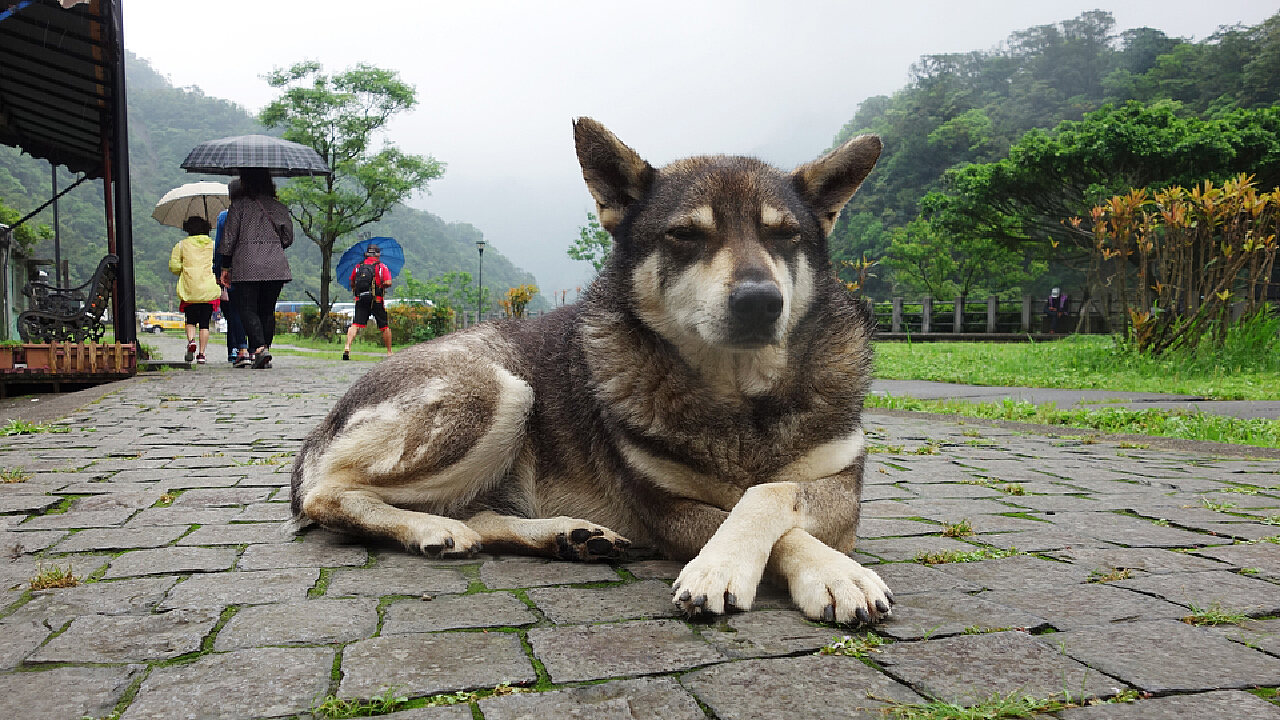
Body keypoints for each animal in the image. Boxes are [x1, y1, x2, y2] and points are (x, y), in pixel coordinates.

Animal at [289, 117, 890, 622]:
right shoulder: (665, 508)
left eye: (784, 234)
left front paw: (830, 571)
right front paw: (736, 569)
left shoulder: (843, 487)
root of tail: (320, 429)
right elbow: (762, 509)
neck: (740, 396)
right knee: (329, 497)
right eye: (686, 235)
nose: (760, 302)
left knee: (477, 515)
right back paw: (432, 527)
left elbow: (770, 492)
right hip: (502, 389)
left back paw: (567, 536)